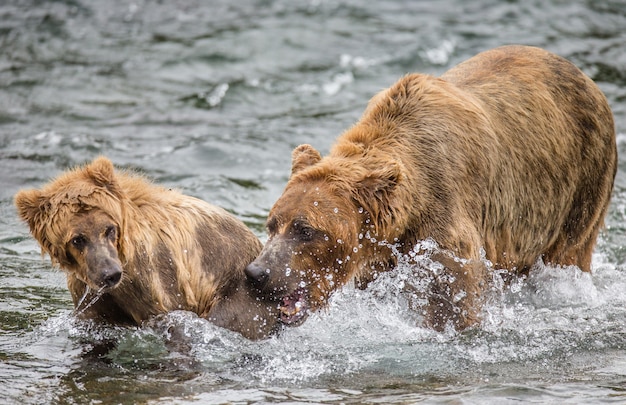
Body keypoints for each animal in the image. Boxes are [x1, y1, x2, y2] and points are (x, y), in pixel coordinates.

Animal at [14, 156, 280, 340]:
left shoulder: (155, 279)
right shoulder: (89, 294)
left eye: (109, 229)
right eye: (78, 239)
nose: (110, 274)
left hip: (240, 292)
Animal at [243, 45, 616, 332]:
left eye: (305, 229)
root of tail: (586, 77)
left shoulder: (445, 230)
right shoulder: (378, 262)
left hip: (582, 183)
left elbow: (452, 300)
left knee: (569, 253)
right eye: (272, 225)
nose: (258, 272)